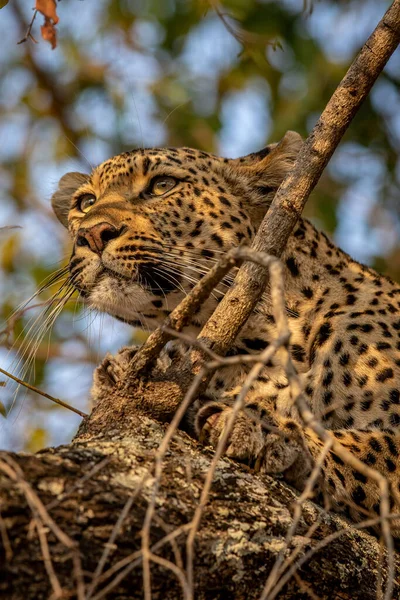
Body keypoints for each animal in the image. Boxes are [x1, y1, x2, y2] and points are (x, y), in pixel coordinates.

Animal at [50, 132, 400, 536]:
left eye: (162, 185)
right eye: (85, 203)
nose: (92, 234)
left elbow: (363, 448)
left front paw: (265, 430)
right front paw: (129, 368)